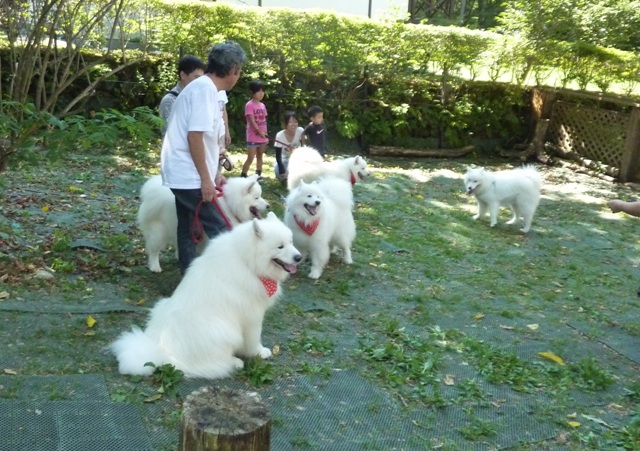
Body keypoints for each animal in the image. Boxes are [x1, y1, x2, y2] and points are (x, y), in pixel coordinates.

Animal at [110, 213, 302, 382]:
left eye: (291, 242)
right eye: (280, 246)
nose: (299, 257)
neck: (247, 262)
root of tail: (163, 352)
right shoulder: (252, 317)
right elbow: (254, 340)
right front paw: (259, 353)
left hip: (162, 306)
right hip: (226, 331)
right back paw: (235, 362)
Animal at [138, 174, 270, 272]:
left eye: (261, 196)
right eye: (256, 198)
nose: (268, 206)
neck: (231, 205)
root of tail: (151, 190)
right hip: (159, 232)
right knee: (153, 249)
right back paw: (155, 266)